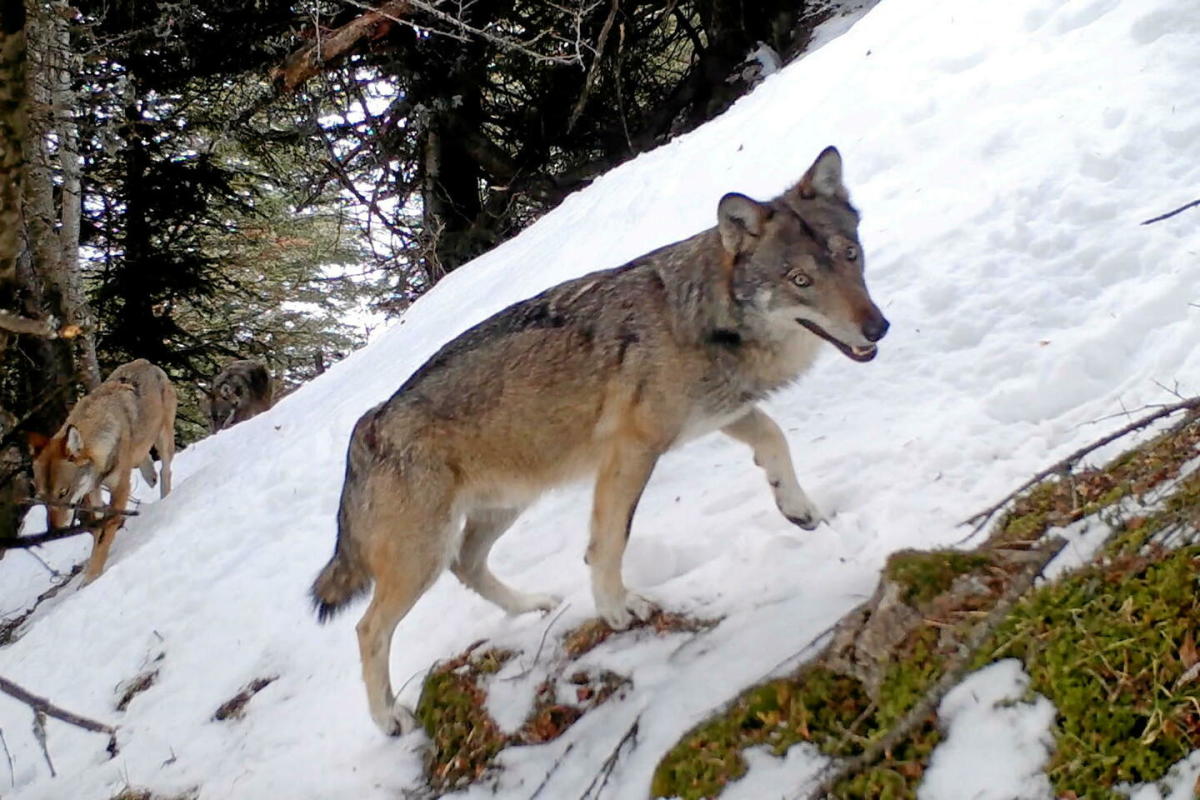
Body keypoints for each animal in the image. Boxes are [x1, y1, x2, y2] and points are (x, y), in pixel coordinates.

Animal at [27, 362, 175, 582]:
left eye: (63, 493)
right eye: (42, 498)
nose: (54, 532)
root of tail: (146, 362)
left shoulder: (120, 489)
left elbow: (106, 533)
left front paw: (91, 577)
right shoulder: (92, 491)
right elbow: (97, 529)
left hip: (164, 439)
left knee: (166, 471)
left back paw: (165, 497)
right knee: (144, 460)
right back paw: (150, 476)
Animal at [309, 146, 892, 734]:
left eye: (850, 255)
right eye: (800, 279)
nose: (878, 329)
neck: (699, 317)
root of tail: (368, 427)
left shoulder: (715, 414)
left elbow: (774, 437)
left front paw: (798, 507)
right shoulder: (633, 449)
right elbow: (608, 541)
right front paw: (616, 608)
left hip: (501, 510)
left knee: (467, 566)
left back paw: (533, 606)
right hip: (423, 555)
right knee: (369, 628)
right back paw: (388, 717)